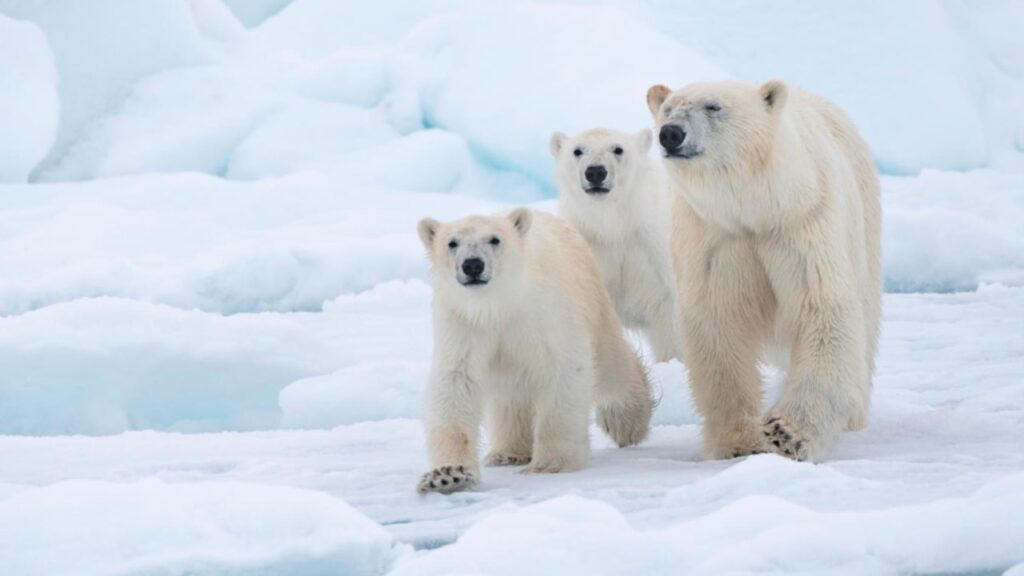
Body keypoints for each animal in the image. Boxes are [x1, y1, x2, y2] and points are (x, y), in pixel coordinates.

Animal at [413, 208, 647, 491]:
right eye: (452, 243)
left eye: (495, 239)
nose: (472, 265)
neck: (498, 305)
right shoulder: (463, 323)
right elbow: (456, 382)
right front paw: (447, 475)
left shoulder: (545, 313)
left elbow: (564, 369)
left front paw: (549, 463)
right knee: (511, 395)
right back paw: (507, 452)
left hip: (593, 299)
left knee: (610, 364)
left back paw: (626, 422)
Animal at [647, 79, 880, 461]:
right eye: (667, 109)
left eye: (713, 107)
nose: (671, 134)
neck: (757, 208)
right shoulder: (715, 239)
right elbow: (718, 324)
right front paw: (739, 440)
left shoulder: (803, 226)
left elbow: (822, 311)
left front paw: (787, 433)